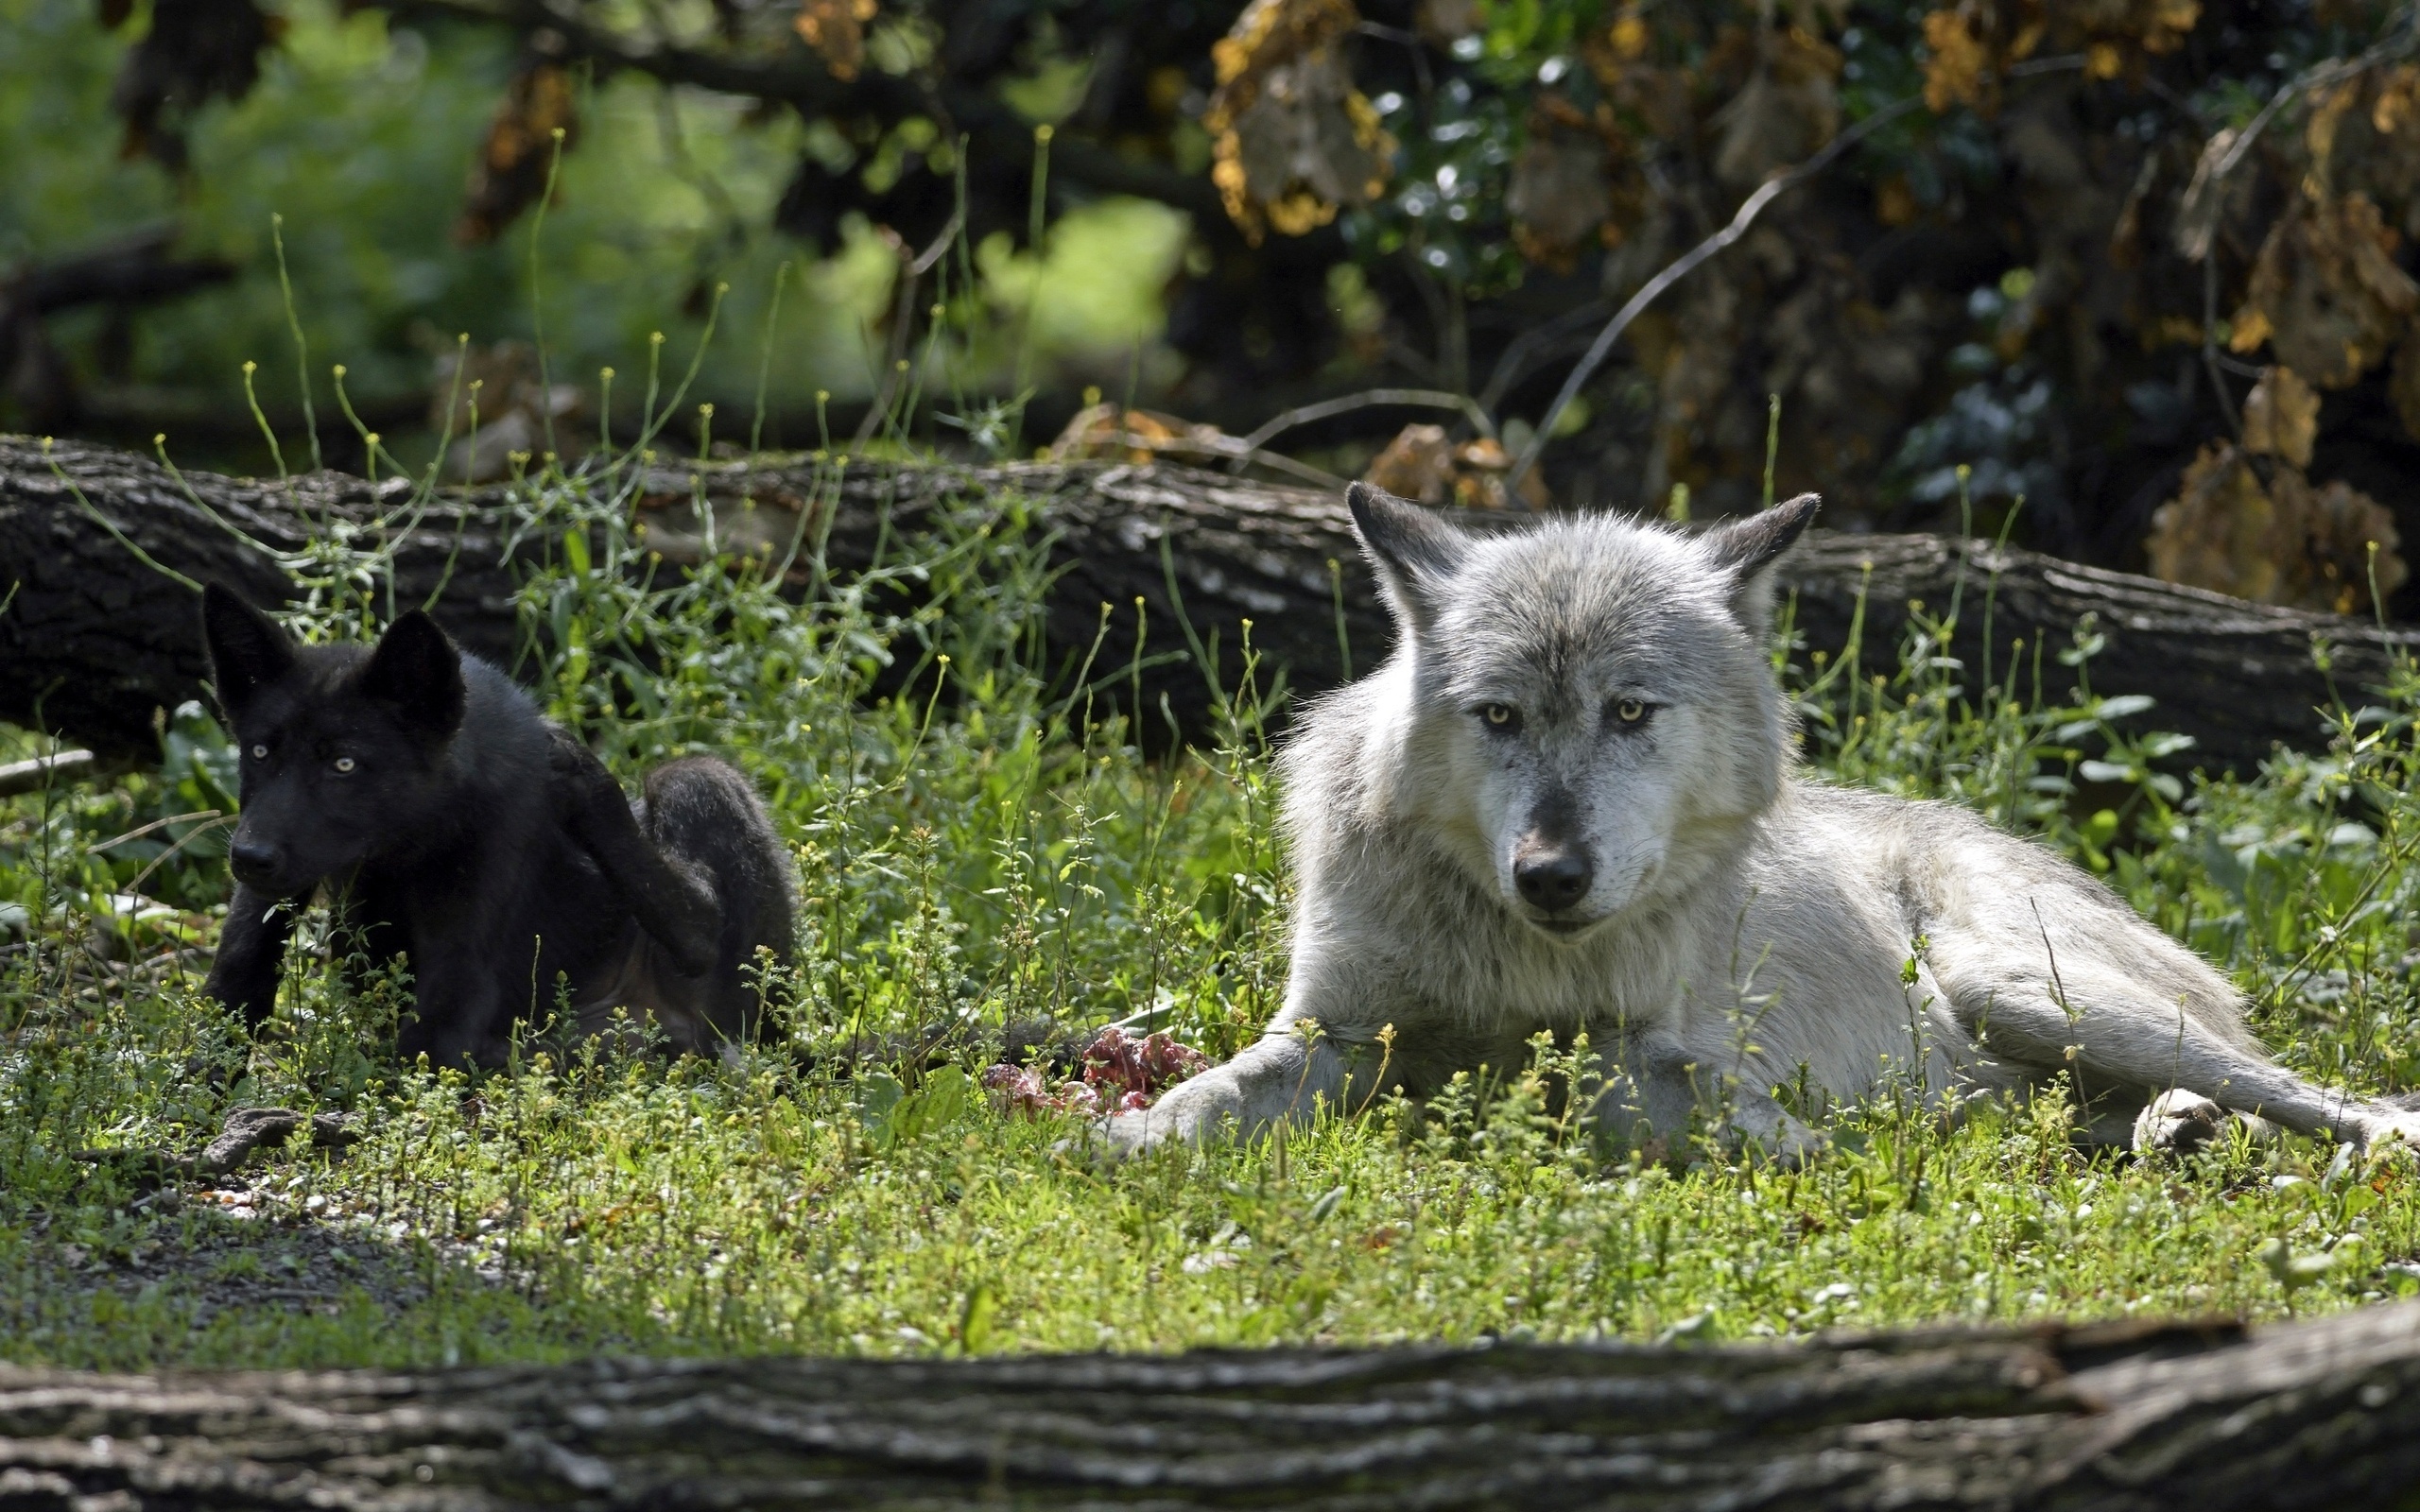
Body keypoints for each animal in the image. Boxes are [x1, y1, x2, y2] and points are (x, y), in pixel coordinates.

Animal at [198, 582, 798, 1069]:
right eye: (258, 752)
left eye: (343, 764)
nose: (248, 857)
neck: (407, 845)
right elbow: (236, 973)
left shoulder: (463, 966)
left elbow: (429, 1048)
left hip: (697, 780)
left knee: (701, 931)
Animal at [1108, 484, 2420, 1156]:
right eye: (1500, 715)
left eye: (1630, 710)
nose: (1550, 874)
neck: (1521, 960)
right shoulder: (1331, 1032)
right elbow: (1197, 1101)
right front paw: (1126, 1140)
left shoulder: (1653, 1052)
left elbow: (1630, 1085)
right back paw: (2167, 1132)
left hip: (2016, 988)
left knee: (2337, 1098)